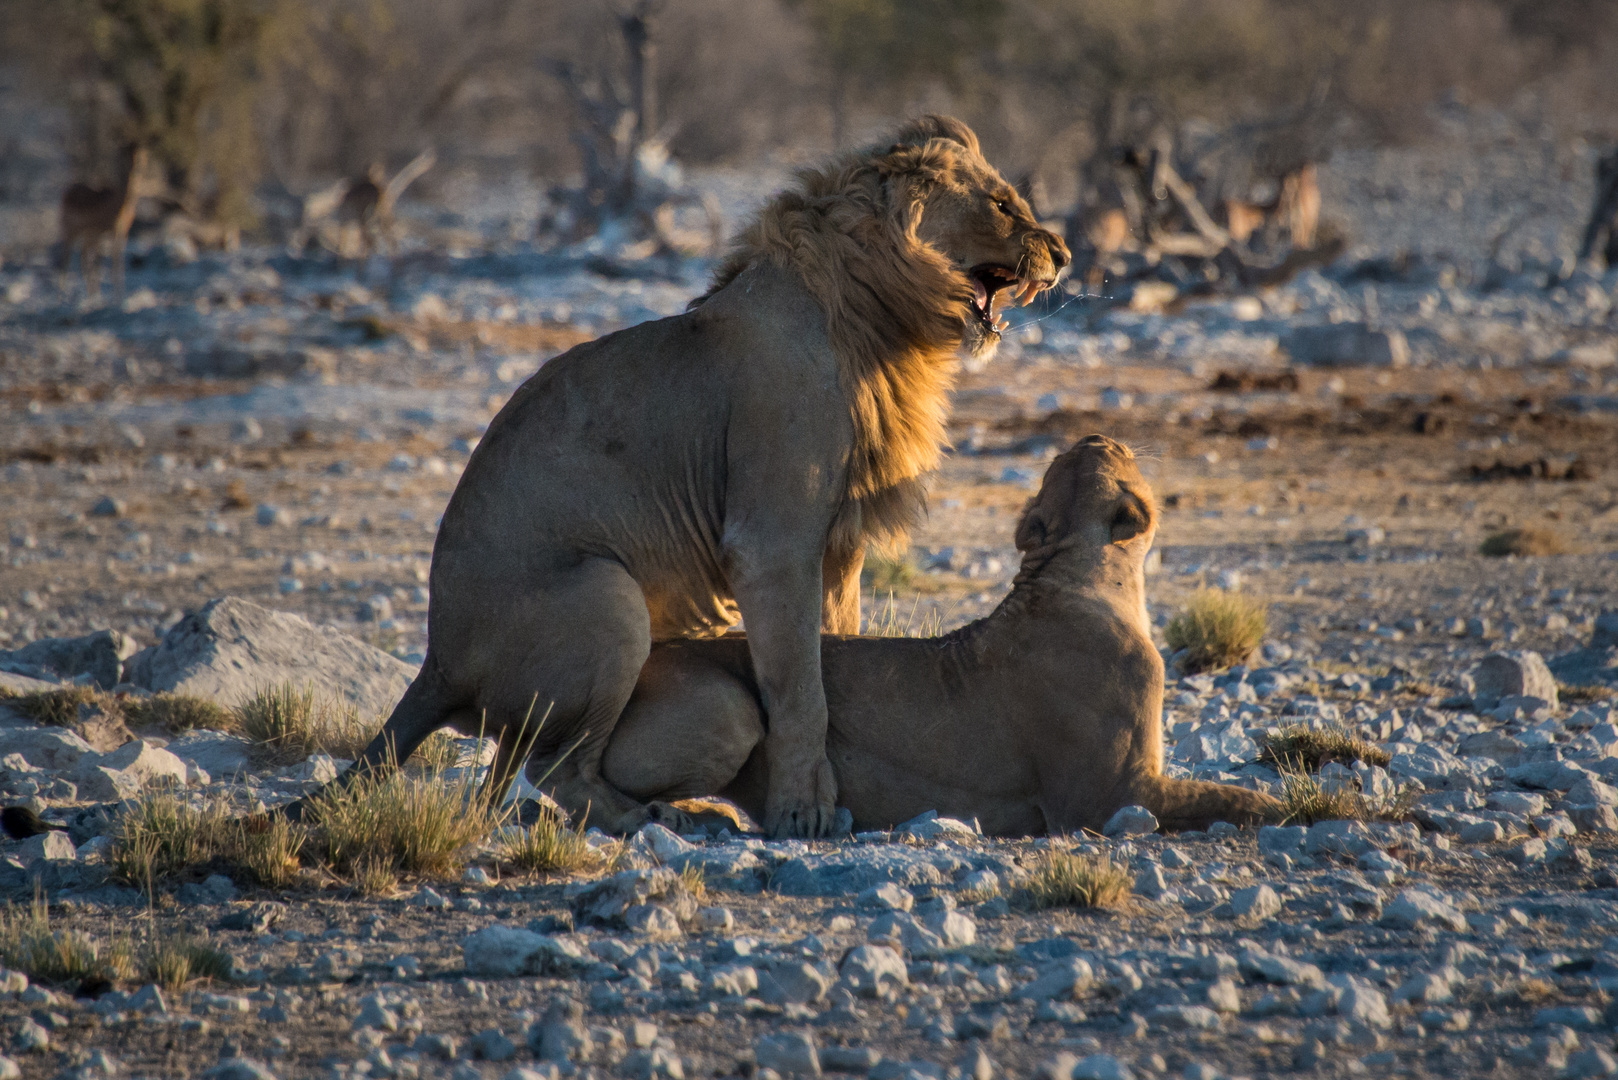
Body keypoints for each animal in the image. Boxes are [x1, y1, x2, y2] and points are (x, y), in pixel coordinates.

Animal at [57, 144, 152, 299]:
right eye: (127, 158)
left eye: (142, 157)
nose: (136, 168)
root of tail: (66, 192)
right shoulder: (107, 232)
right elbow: (110, 261)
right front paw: (116, 296)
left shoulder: (121, 233)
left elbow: (116, 260)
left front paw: (117, 293)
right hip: (70, 231)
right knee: (66, 258)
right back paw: (63, 294)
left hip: (85, 235)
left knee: (82, 256)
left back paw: (88, 293)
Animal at [595, 437, 1274, 835]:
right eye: (1115, 454)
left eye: (1068, 459)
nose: (1096, 435)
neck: (1077, 577)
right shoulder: (1106, 799)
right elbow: (1222, 795)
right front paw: (1292, 807)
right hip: (725, 707)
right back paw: (678, 814)